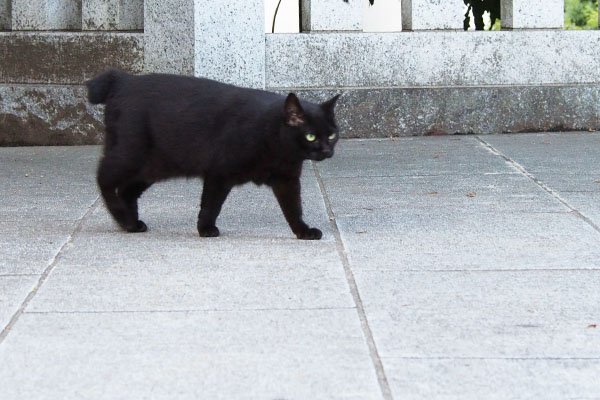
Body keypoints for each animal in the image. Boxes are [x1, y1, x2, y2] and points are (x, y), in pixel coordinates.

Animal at [86, 69, 340, 239]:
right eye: (311, 136)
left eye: (331, 135)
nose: (327, 151)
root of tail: (124, 79)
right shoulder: (219, 173)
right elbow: (211, 204)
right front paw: (205, 229)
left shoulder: (286, 181)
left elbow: (294, 209)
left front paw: (303, 231)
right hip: (130, 155)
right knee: (103, 177)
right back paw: (121, 215)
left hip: (153, 168)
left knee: (126, 191)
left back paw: (130, 223)